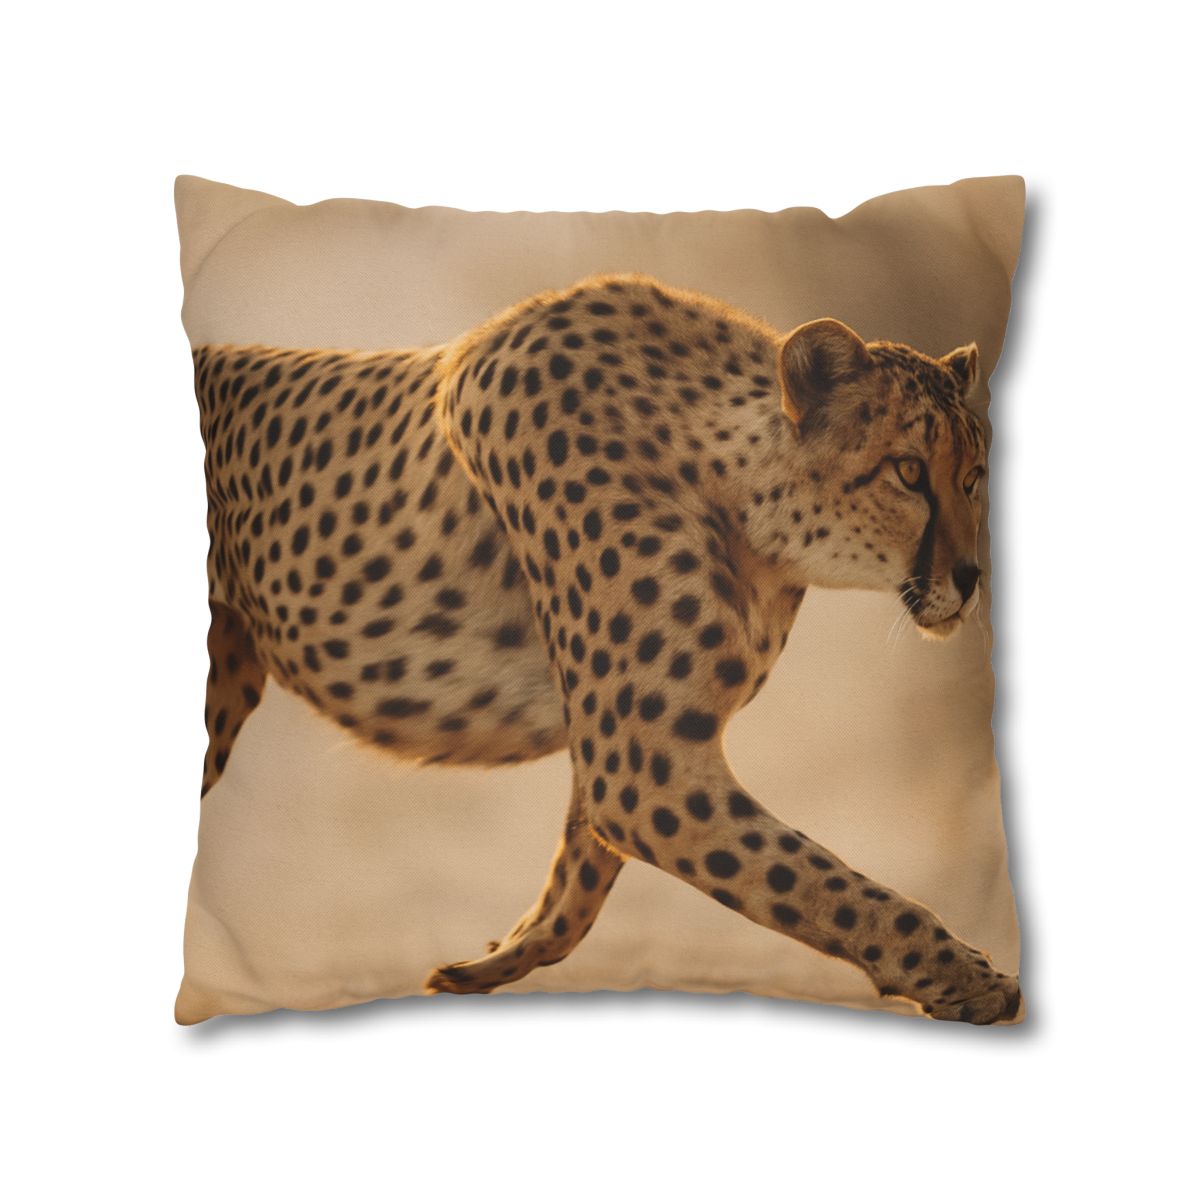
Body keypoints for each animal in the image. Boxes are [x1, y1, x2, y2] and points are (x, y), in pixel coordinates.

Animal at [192, 273, 1020, 1024]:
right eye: (908, 471)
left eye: (976, 476)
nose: (971, 578)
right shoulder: (641, 764)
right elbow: (822, 885)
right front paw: (969, 978)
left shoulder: (629, 746)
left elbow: (579, 878)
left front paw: (490, 961)